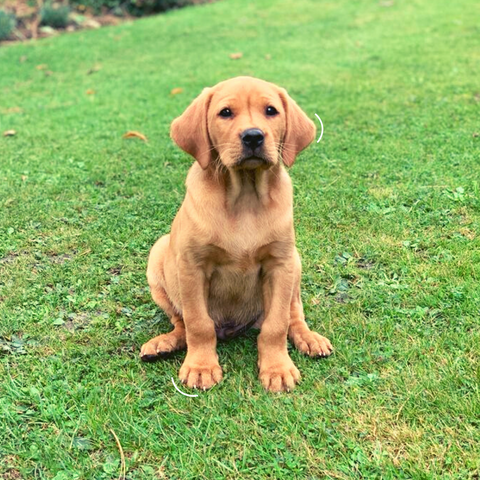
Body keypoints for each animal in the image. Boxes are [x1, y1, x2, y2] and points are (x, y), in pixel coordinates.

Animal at [141, 75, 332, 390]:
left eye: (271, 110)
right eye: (226, 113)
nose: (253, 136)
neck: (245, 196)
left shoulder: (280, 264)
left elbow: (276, 325)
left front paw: (277, 368)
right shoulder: (192, 266)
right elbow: (198, 324)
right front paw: (201, 367)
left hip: (295, 262)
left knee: (294, 313)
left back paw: (308, 338)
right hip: (159, 256)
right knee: (181, 323)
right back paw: (164, 343)